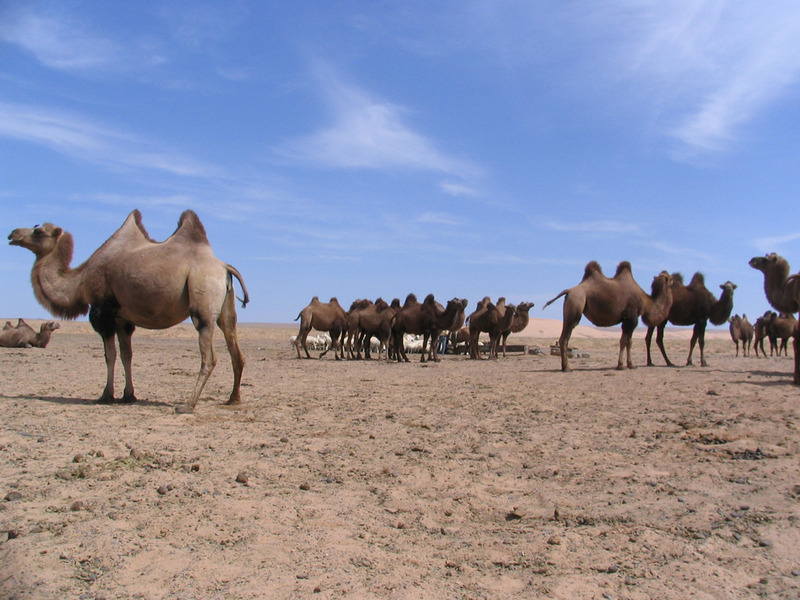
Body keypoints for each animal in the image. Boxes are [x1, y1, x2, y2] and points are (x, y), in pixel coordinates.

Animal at [7, 210, 248, 412]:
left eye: (38, 230)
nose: (13, 233)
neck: (80, 281)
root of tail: (223, 266)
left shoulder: (102, 312)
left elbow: (110, 355)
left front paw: (106, 395)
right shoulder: (123, 318)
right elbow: (126, 355)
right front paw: (128, 395)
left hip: (203, 296)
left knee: (209, 355)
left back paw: (187, 405)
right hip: (226, 306)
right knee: (234, 347)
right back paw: (232, 399)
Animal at [544, 262, 676, 370]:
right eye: (669, 278)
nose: (674, 278)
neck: (646, 301)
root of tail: (569, 291)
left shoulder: (627, 319)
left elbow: (628, 341)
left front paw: (629, 365)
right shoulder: (631, 317)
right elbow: (625, 341)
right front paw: (623, 365)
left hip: (569, 309)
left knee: (562, 337)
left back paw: (564, 367)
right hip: (576, 304)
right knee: (565, 338)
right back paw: (567, 368)